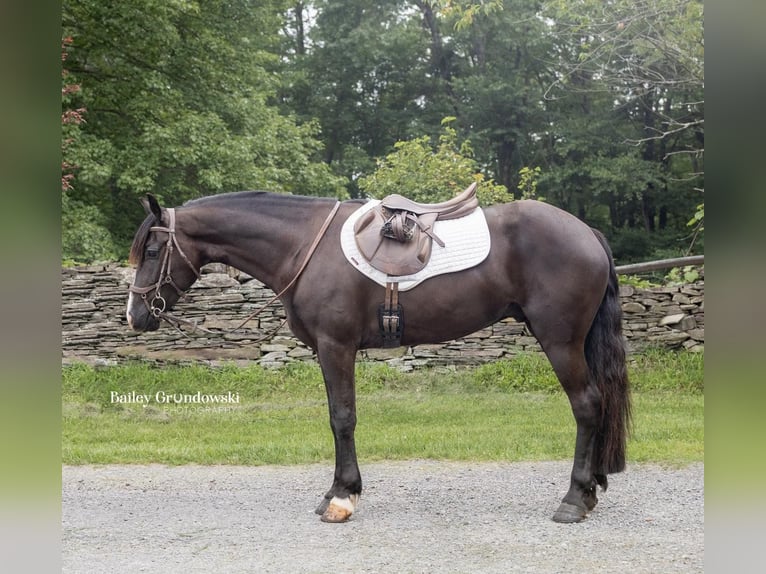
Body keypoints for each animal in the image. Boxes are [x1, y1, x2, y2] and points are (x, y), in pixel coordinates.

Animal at [124, 190, 632, 528]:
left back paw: (573, 499)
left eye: (152, 249)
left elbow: (342, 418)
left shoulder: (336, 346)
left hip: (560, 341)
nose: (134, 315)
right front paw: (341, 490)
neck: (303, 246)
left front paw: (341, 497)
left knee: (587, 405)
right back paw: (589, 491)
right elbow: (339, 416)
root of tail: (586, 232)